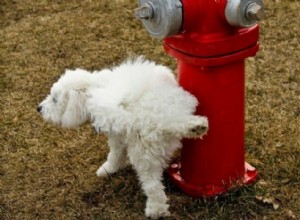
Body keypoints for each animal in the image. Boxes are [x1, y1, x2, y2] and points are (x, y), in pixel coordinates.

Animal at [37, 57, 209, 219]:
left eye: (55, 99)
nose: (38, 108)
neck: (94, 86)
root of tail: (163, 120)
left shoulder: (116, 136)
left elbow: (115, 154)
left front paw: (108, 169)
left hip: (143, 154)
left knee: (153, 186)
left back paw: (155, 210)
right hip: (176, 112)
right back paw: (197, 127)